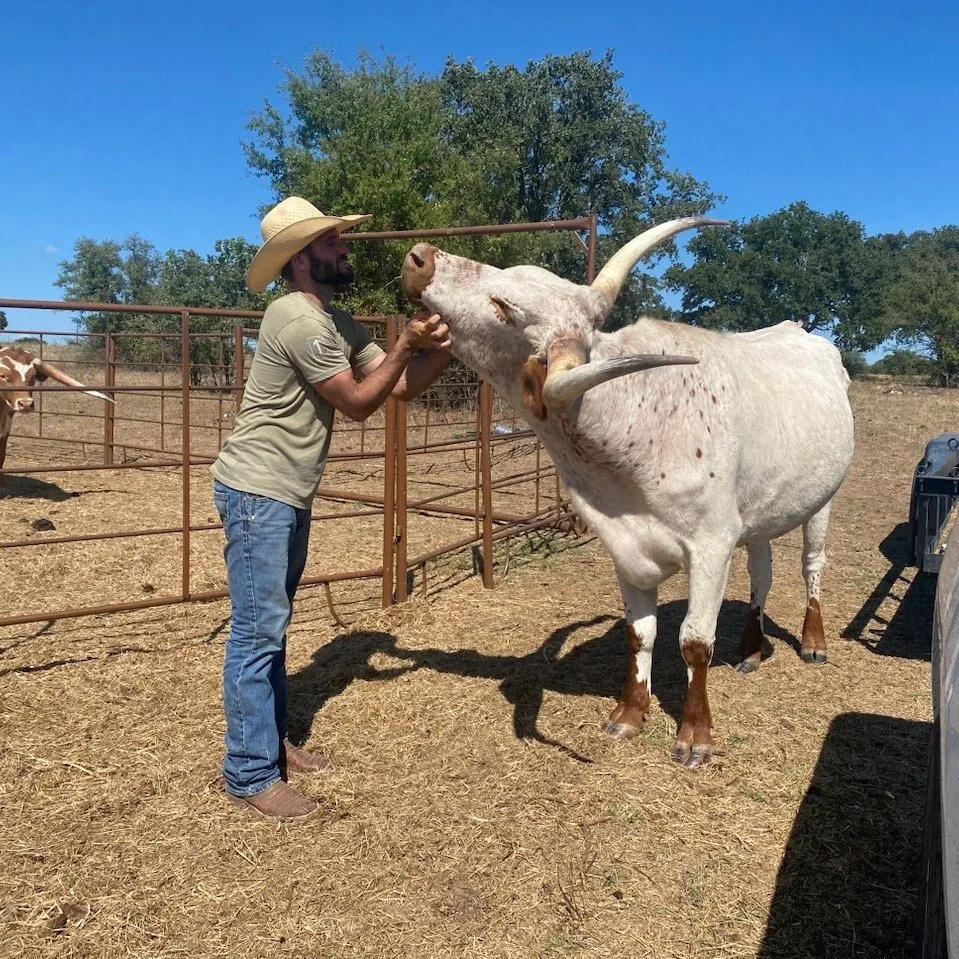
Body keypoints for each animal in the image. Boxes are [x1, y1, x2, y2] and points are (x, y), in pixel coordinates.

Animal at [401, 217, 855, 768]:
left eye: (504, 308)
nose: (419, 257)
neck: (630, 418)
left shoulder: (710, 545)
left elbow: (694, 641)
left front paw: (695, 734)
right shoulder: (626, 544)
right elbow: (640, 633)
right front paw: (630, 713)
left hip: (823, 500)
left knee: (812, 565)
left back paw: (813, 642)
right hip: (758, 510)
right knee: (761, 573)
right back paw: (750, 648)